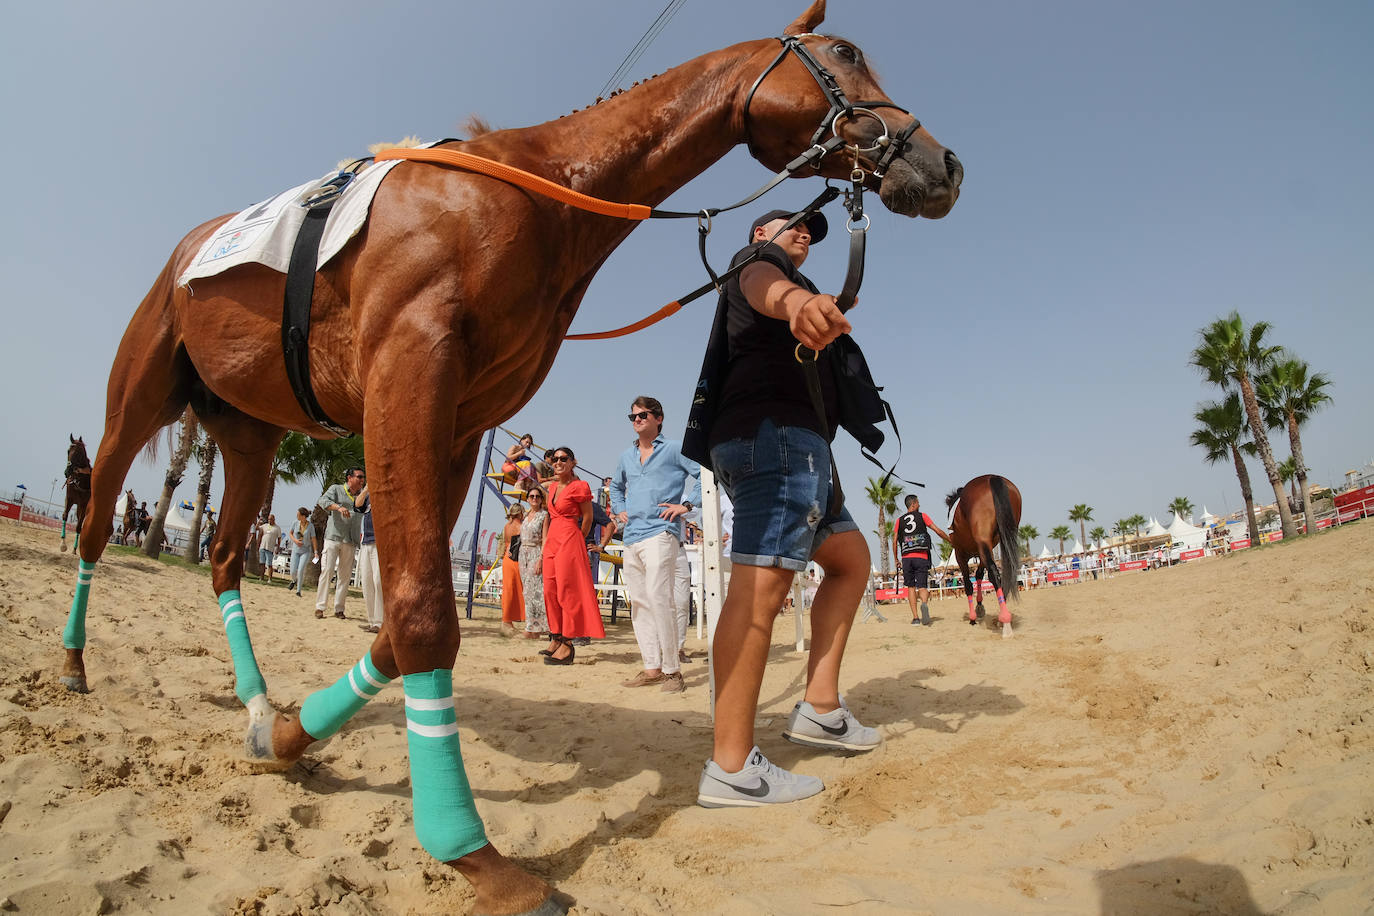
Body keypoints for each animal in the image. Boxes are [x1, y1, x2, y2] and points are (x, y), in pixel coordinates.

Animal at [59, 5, 961, 911]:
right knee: (99, 523)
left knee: (220, 556)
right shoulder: (407, 379)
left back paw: (254, 708)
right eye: (846, 51)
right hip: (133, 403)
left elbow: (404, 629)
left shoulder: (461, 423)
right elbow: (422, 615)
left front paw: (287, 735)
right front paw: (471, 852)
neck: (527, 190)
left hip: (250, 433)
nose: (941, 163)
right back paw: (71, 667)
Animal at [945, 472, 1022, 637]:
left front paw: (973, 617)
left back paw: (1005, 621)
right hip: (1006, 535)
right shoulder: (984, 549)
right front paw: (979, 607)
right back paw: (1001, 617)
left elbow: (968, 584)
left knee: (994, 573)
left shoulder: (961, 555)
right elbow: (979, 574)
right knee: (1004, 572)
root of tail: (992, 477)